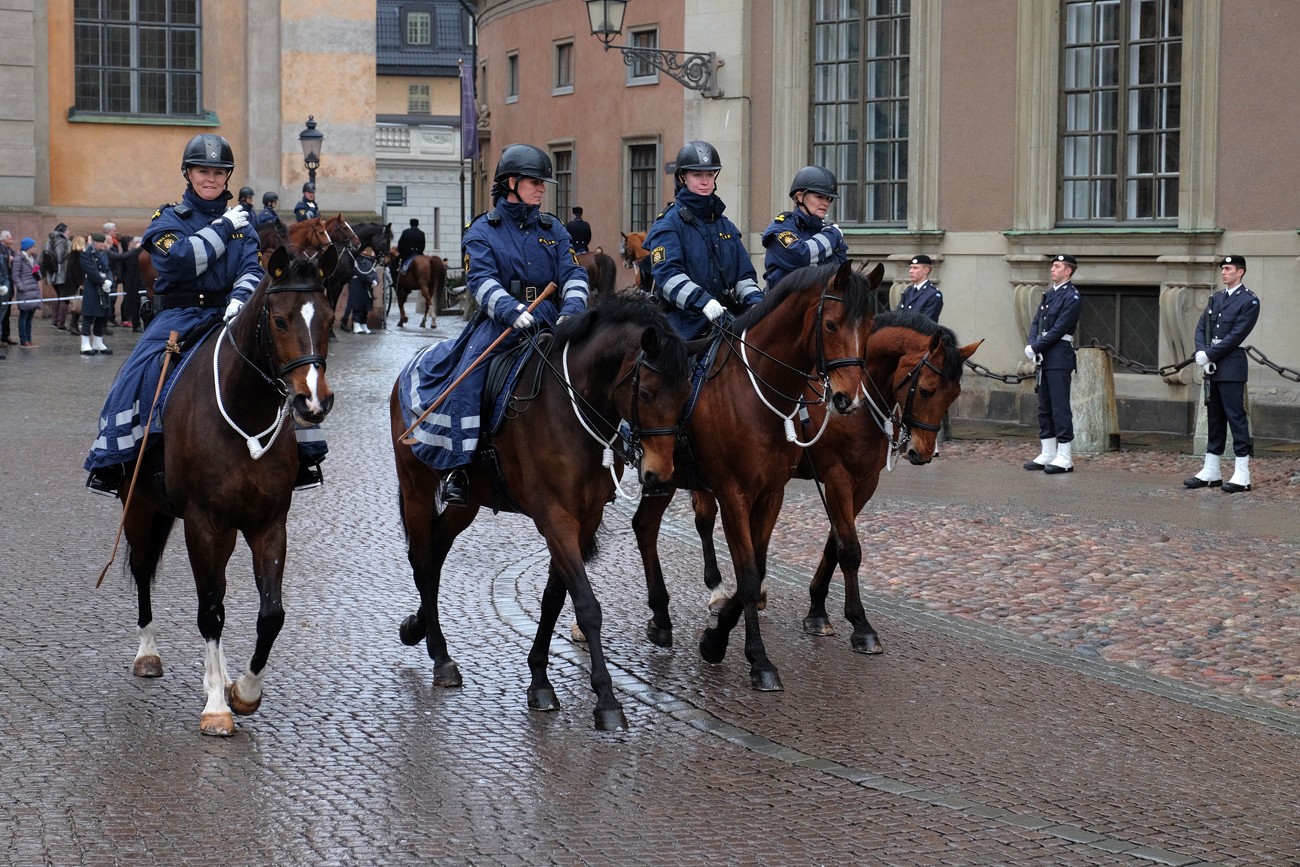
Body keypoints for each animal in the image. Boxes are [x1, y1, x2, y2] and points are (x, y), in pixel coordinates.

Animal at [116, 245, 338, 738]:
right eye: (280, 320)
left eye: (330, 318)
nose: (313, 401)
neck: (244, 409)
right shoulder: (203, 524)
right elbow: (210, 609)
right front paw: (217, 704)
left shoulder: (267, 524)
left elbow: (270, 614)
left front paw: (244, 691)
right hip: (140, 507)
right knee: (144, 570)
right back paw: (147, 653)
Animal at [390, 298, 696, 733]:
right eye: (648, 393)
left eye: (686, 393)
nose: (659, 477)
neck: (572, 412)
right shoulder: (555, 517)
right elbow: (586, 606)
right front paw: (606, 699)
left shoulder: (583, 520)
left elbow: (554, 598)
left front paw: (539, 680)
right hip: (416, 488)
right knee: (422, 560)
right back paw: (440, 657)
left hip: (467, 503)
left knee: (433, 555)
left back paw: (420, 631)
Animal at [626, 261, 878, 696]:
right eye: (831, 324)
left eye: (870, 325)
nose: (849, 399)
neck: (757, 393)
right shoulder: (733, 495)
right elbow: (745, 575)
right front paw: (757, 659)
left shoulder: (771, 494)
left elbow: (757, 569)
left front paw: (715, 640)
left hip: (665, 477)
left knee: (644, 526)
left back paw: (660, 618)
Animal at [691, 308, 977, 655]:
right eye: (925, 390)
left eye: (955, 394)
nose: (921, 452)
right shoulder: (838, 477)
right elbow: (849, 549)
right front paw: (860, 624)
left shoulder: (864, 483)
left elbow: (834, 544)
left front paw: (817, 611)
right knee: (705, 520)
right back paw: (718, 589)